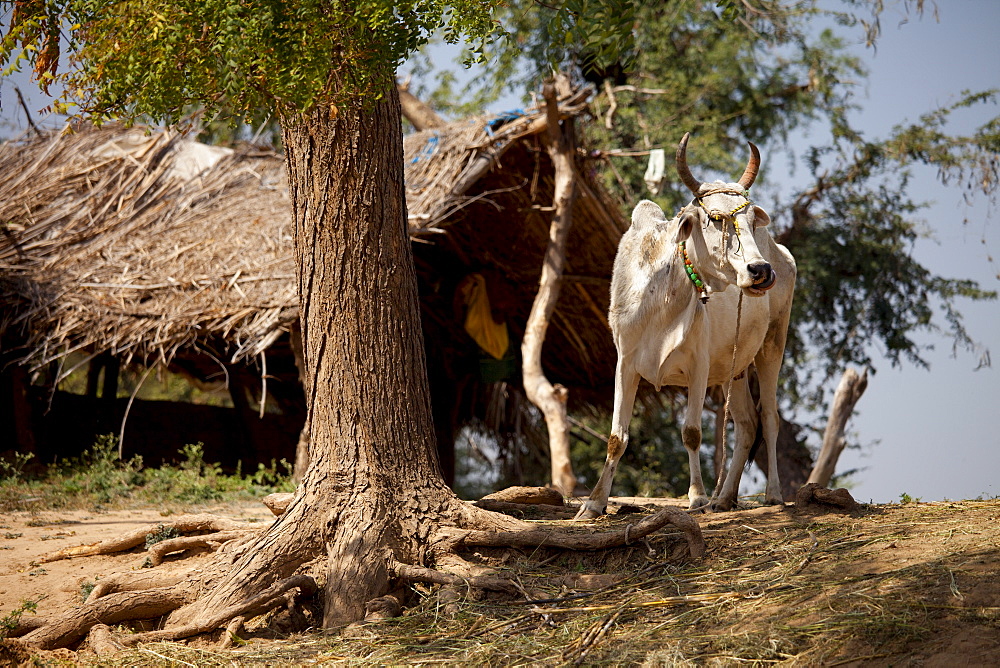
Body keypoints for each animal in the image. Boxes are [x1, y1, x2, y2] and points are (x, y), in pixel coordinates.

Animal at [580, 133, 796, 520]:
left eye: (751, 220)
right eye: (714, 218)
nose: (760, 271)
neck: (661, 299)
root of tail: (781, 253)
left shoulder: (699, 366)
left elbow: (692, 432)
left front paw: (696, 497)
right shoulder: (625, 364)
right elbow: (617, 437)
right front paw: (594, 502)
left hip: (773, 344)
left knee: (769, 418)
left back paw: (772, 493)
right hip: (734, 369)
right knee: (746, 425)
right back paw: (724, 498)